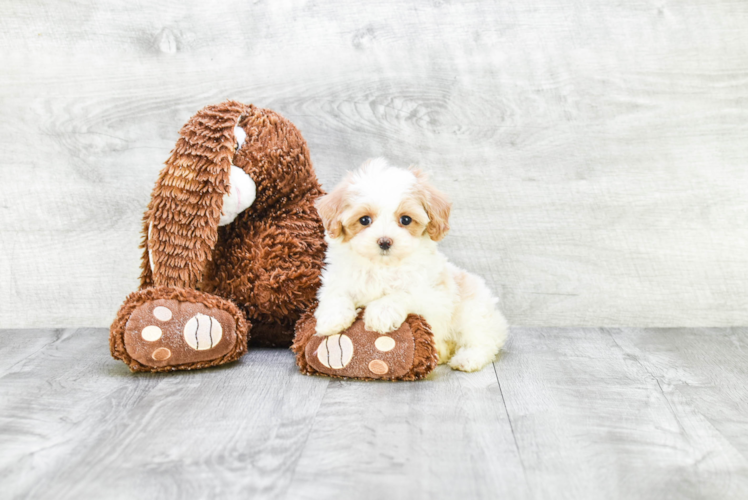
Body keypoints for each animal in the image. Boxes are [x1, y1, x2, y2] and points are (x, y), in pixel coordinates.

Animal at [312, 158, 506, 374]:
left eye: (405, 219)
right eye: (364, 220)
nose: (385, 241)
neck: (382, 266)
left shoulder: (432, 295)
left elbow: (404, 293)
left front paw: (381, 312)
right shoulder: (339, 278)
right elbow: (336, 293)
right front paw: (331, 319)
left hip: (472, 312)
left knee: (483, 341)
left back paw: (467, 358)